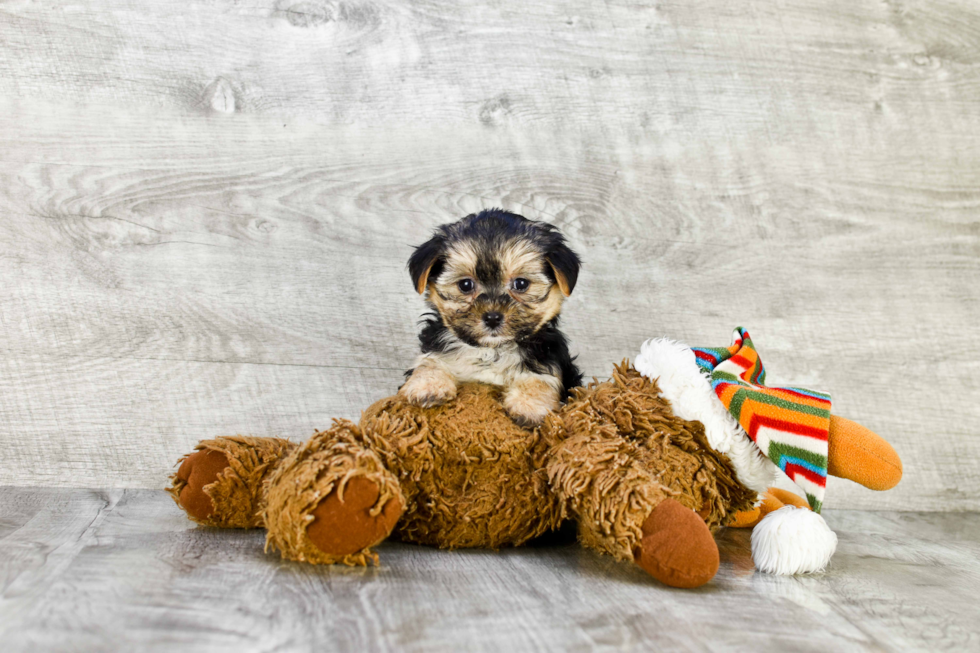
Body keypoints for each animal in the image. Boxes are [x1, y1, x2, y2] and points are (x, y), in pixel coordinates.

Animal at [398, 208, 580, 422]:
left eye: (521, 283)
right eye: (465, 285)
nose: (492, 317)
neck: (491, 351)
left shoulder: (547, 354)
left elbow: (541, 377)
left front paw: (530, 405)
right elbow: (430, 362)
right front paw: (429, 386)